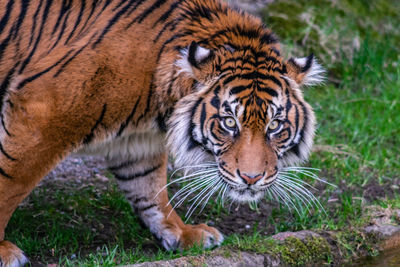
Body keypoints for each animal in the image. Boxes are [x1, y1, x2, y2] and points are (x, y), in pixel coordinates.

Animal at [0, 0, 324, 264]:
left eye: (275, 125)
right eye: (230, 122)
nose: (252, 178)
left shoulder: (137, 142)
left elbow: (149, 189)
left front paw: (181, 233)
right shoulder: (42, 112)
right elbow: (11, 181)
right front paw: (3, 252)